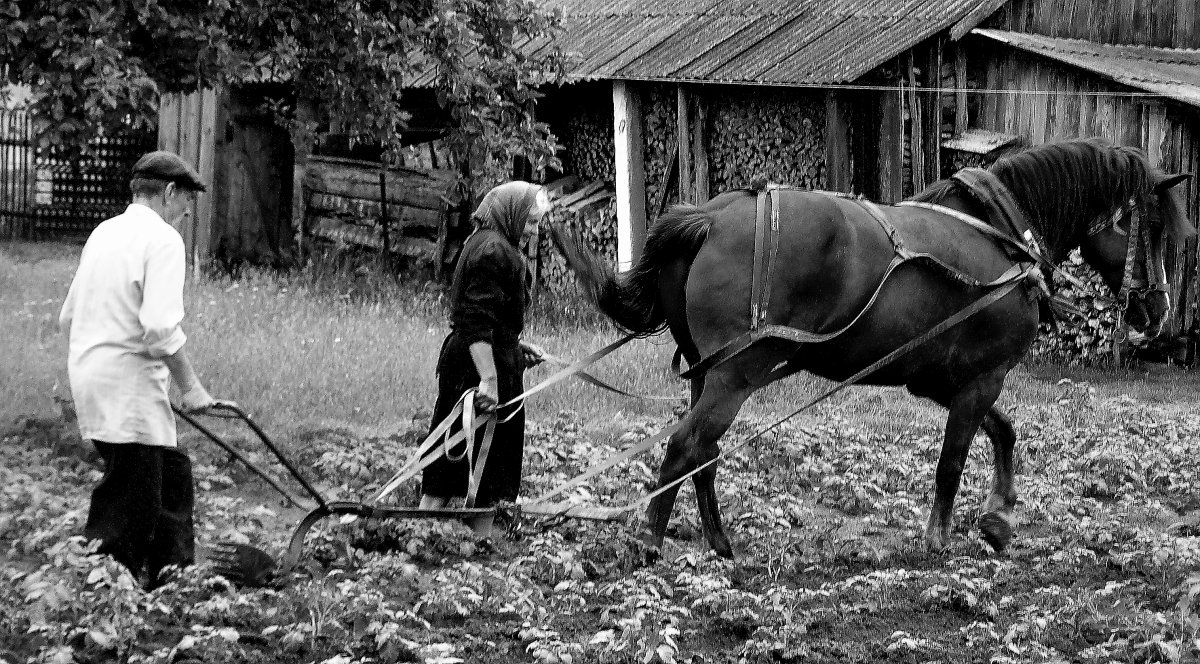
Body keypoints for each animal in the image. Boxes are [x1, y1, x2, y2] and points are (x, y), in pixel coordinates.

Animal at [552, 137, 1190, 557]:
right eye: (1155, 229)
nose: (1158, 313)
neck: (1004, 235)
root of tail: (709, 217)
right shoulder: (984, 376)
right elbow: (953, 460)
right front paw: (938, 540)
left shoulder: (940, 378)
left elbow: (1003, 433)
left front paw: (998, 519)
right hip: (735, 375)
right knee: (686, 446)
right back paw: (650, 541)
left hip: (710, 375)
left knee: (701, 452)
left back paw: (721, 546)